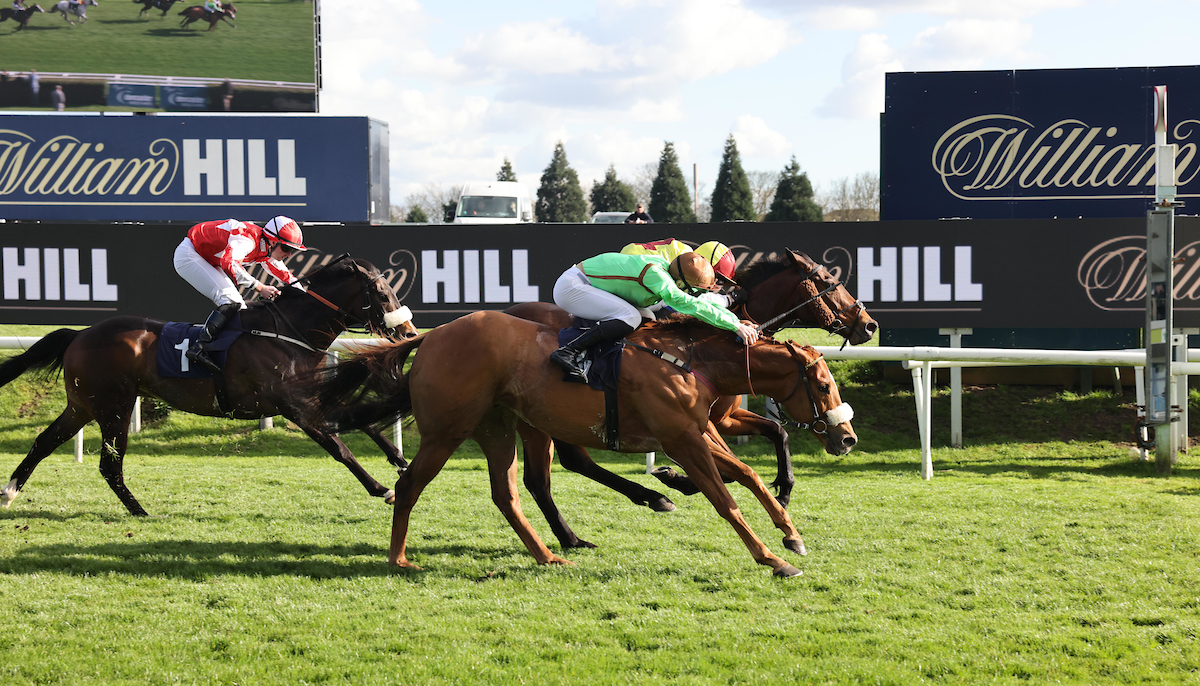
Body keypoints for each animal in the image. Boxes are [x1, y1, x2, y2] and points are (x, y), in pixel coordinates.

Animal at [0, 256, 417, 513]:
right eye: (382, 294)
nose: (409, 332)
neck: (288, 332)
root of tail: (80, 334)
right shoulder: (294, 406)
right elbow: (339, 448)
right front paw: (382, 489)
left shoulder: (313, 394)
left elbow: (365, 422)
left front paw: (400, 462)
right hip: (113, 407)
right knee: (108, 465)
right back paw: (140, 510)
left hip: (83, 405)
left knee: (44, 442)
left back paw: (9, 492)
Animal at [304, 314, 859, 575]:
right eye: (824, 385)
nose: (847, 437)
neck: (689, 359)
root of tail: (431, 335)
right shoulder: (681, 437)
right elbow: (725, 499)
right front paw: (773, 559)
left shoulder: (698, 430)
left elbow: (746, 477)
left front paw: (791, 534)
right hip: (448, 430)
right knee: (411, 484)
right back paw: (398, 559)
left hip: (499, 426)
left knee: (507, 493)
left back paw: (550, 555)